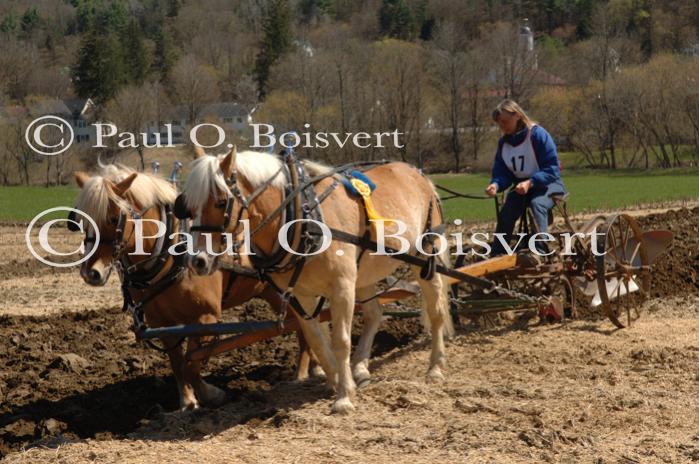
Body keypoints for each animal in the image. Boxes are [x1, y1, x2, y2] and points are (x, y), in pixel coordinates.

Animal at [72, 166, 318, 410]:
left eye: (113, 218)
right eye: (83, 221)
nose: (90, 273)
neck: (172, 255)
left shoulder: (205, 318)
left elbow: (191, 363)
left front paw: (212, 394)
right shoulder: (162, 324)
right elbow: (178, 363)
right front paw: (188, 401)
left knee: (302, 326)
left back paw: (301, 373)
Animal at [180, 149, 454, 414]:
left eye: (221, 202)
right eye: (188, 207)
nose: (197, 261)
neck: (301, 218)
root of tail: (418, 174)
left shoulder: (342, 287)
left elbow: (340, 341)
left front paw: (344, 397)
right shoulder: (301, 294)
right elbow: (318, 342)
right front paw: (337, 381)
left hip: (426, 258)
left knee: (436, 311)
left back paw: (435, 367)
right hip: (364, 273)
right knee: (375, 314)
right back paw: (360, 368)